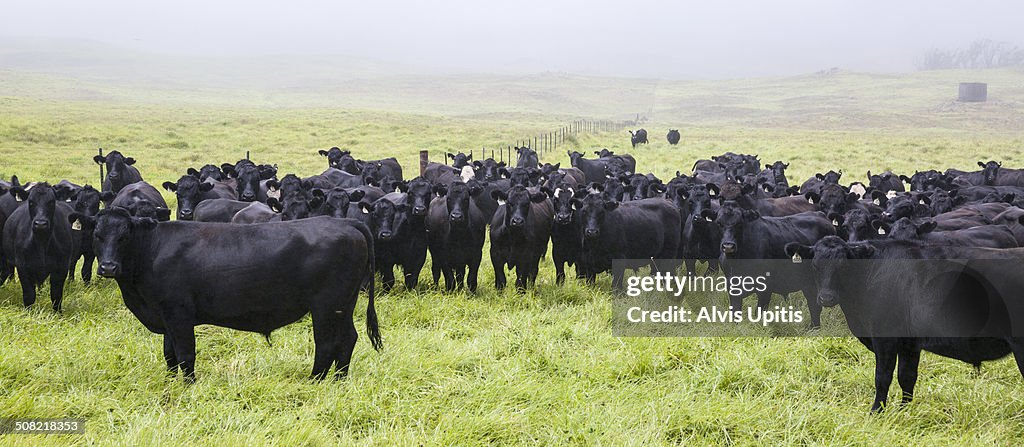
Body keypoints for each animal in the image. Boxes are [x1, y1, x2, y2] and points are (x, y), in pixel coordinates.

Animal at [79, 208, 378, 380]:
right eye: (97, 234)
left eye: (124, 236)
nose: (108, 267)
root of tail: (346, 222)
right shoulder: (165, 316)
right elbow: (169, 355)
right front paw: (170, 383)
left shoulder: (178, 313)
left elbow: (185, 353)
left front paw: (188, 386)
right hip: (344, 304)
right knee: (348, 339)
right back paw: (339, 379)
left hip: (326, 306)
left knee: (326, 343)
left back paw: (314, 380)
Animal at [786, 237, 1024, 411]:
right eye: (814, 265)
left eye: (844, 266)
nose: (826, 298)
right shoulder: (910, 343)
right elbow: (907, 377)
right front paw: (904, 410)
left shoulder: (885, 339)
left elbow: (882, 377)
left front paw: (876, 411)